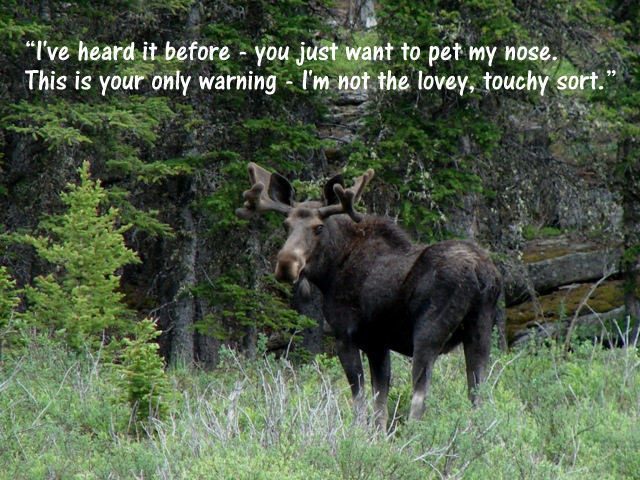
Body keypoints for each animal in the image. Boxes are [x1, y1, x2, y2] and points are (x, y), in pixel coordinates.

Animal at [236, 163, 502, 428]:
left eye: (319, 227)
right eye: (286, 225)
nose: (286, 265)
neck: (331, 271)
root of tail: (480, 273)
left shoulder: (345, 336)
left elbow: (359, 401)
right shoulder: (378, 344)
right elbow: (380, 406)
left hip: (429, 331)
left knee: (420, 398)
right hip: (480, 330)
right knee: (477, 395)